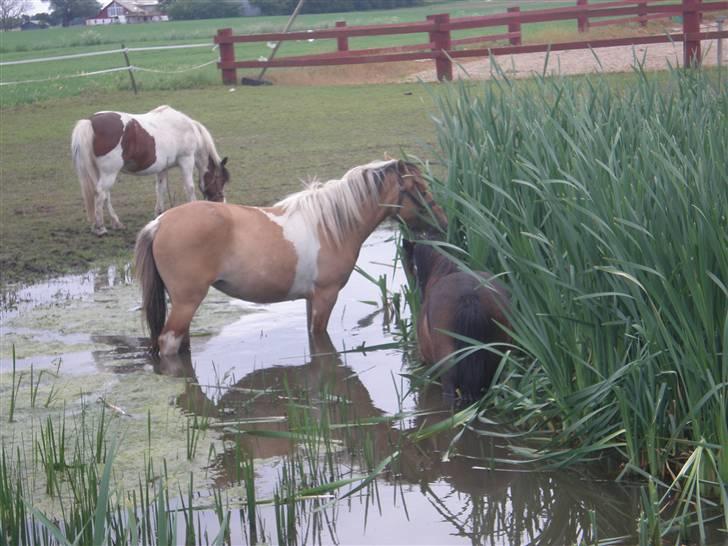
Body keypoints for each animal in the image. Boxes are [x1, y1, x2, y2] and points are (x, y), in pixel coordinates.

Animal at [70, 105, 230, 235]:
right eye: (221, 181)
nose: (222, 204)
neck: (188, 129)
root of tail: (90, 121)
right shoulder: (186, 160)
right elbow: (189, 188)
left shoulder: (163, 169)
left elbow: (160, 189)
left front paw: (159, 212)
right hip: (109, 173)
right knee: (100, 193)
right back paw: (100, 227)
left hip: (103, 173)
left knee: (105, 195)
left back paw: (116, 223)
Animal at [134, 156, 446, 356]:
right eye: (420, 188)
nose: (442, 223)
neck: (332, 225)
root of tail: (159, 223)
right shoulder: (325, 297)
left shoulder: (310, 300)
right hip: (187, 302)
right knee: (169, 343)